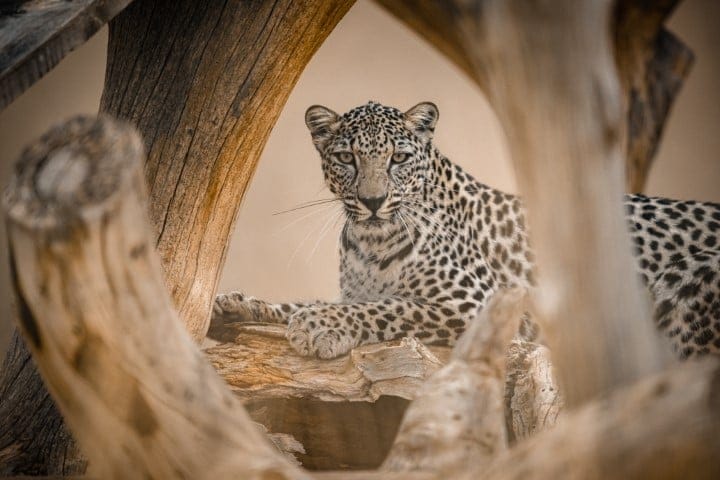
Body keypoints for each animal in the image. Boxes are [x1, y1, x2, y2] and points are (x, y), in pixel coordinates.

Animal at [210, 100, 720, 361]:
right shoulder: (354, 287)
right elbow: (316, 300)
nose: (373, 202)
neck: (371, 242)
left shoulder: (478, 304)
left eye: (398, 158)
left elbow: (391, 306)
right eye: (346, 158)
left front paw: (321, 327)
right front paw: (236, 305)